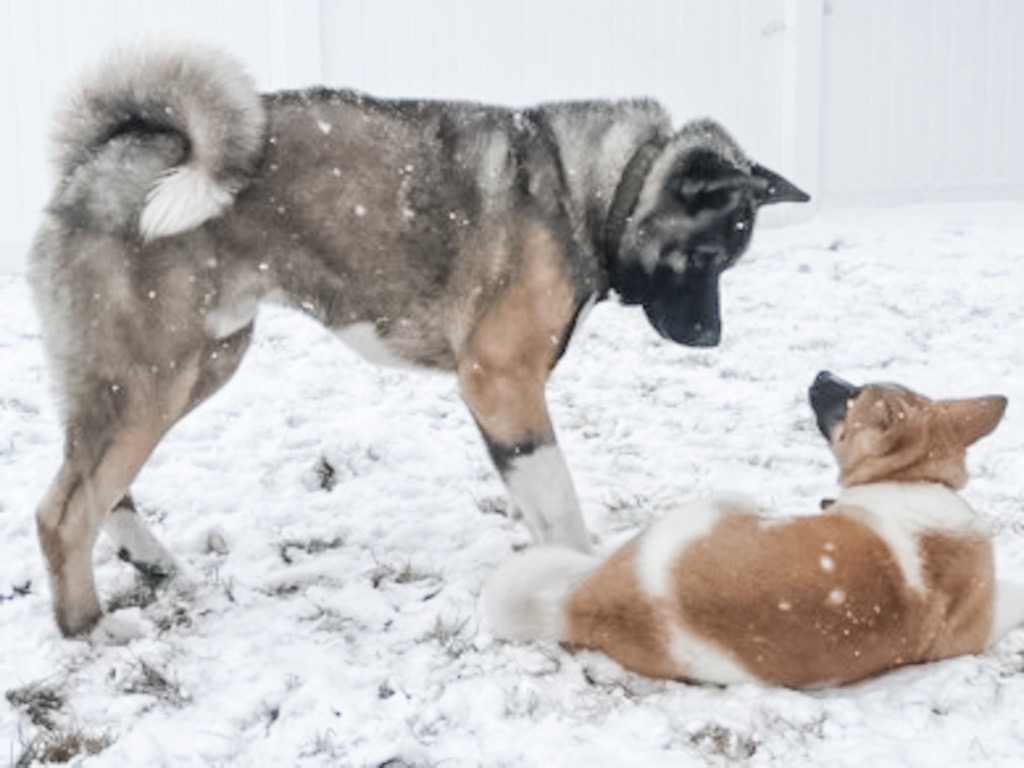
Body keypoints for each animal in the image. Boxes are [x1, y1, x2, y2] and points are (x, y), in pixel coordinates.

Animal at [29, 43, 806, 638]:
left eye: (728, 262)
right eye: (705, 257)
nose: (709, 339)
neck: (598, 189)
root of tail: (94, 162)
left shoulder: (504, 402)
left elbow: (535, 500)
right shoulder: (500, 380)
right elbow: (560, 505)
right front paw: (580, 582)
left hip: (187, 369)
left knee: (97, 487)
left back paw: (150, 561)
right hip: (152, 380)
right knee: (63, 512)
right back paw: (89, 628)